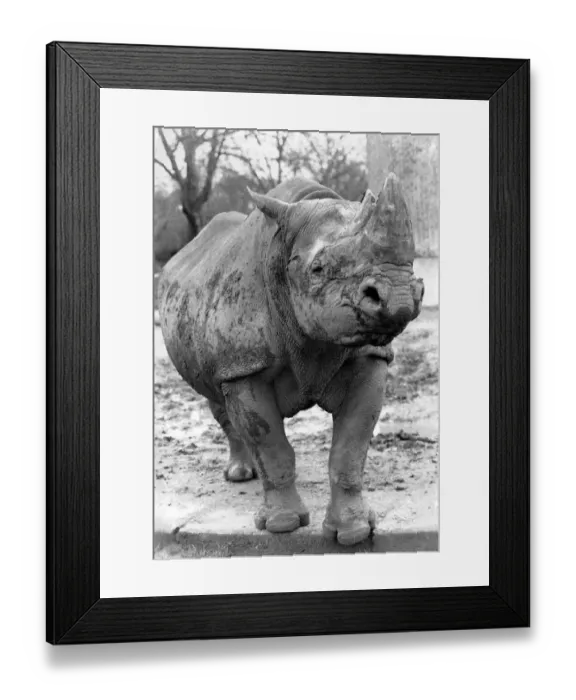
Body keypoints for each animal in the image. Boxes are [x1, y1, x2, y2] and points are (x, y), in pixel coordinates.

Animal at [158, 175, 424, 545]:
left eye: (411, 263)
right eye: (318, 268)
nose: (398, 298)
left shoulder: (369, 355)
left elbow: (350, 448)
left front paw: (353, 531)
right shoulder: (243, 366)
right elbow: (270, 442)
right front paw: (282, 525)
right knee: (216, 398)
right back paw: (241, 475)